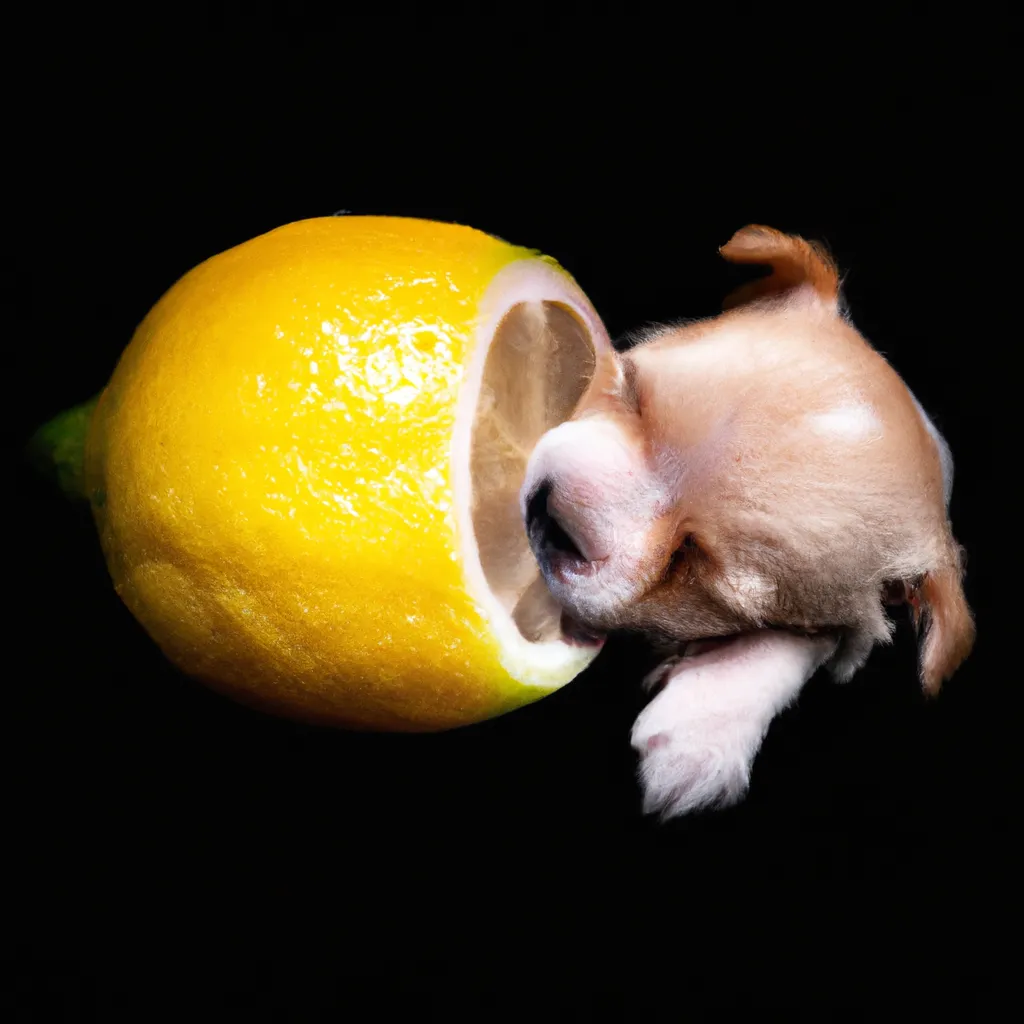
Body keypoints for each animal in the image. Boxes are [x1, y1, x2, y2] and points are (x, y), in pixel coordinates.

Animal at [520, 224, 974, 815]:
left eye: (690, 562)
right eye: (632, 393)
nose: (553, 517)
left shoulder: (838, 623)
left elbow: (807, 640)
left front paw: (699, 732)